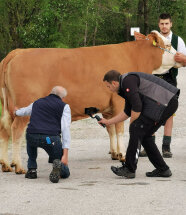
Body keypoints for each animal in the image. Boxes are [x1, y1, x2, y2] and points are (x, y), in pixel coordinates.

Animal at [0, 31, 182, 174]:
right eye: (167, 44)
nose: (181, 56)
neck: (134, 57)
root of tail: (17, 52)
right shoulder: (119, 101)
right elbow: (120, 129)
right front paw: (123, 154)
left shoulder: (108, 107)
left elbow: (111, 129)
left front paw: (115, 153)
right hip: (24, 107)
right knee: (16, 131)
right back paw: (19, 166)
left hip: (8, 108)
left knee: (4, 130)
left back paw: (6, 164)